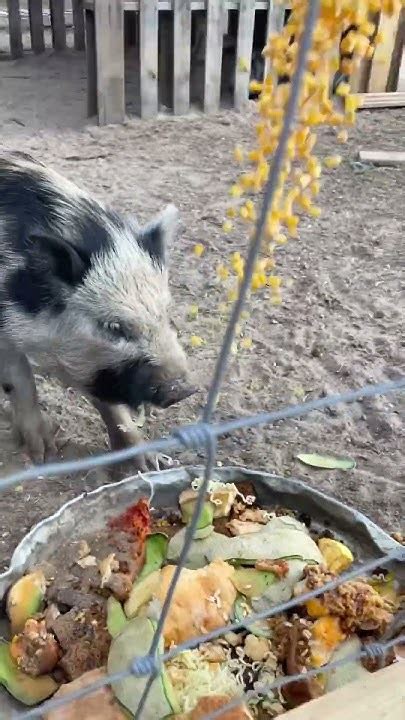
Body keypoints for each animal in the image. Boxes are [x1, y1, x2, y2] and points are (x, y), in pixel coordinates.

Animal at [0, 151, 196, 466]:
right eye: (113, 326)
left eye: (166, 312)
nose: (184, 388)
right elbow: (19, 381)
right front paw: (44, 455)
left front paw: (149, 463)